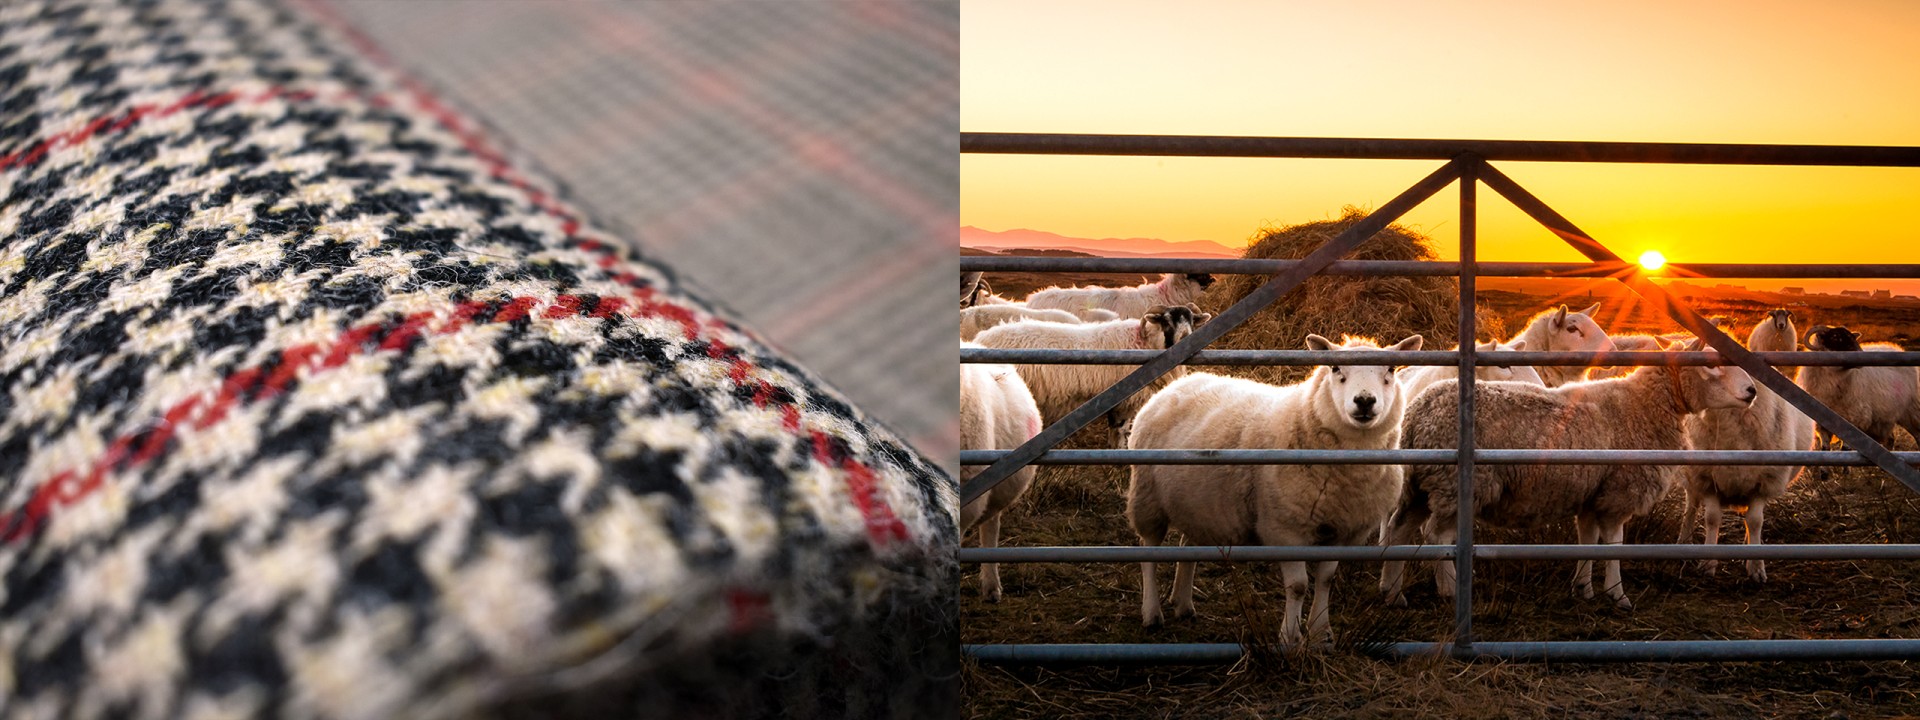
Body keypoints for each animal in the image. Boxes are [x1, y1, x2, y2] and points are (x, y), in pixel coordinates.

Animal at [972, 305, 1210, 448]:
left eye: (1191, 321)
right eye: (1167, 322)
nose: (1187, 338)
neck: (1147, 345)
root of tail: (981, 339)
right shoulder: (1125, 400)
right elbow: (1121, 431)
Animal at [1127, 333, 1425, 644]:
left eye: (1390, 370)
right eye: (1335, 369)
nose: (1364, 401)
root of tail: (1177, 384)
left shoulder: (1343, 530)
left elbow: (1326, 580)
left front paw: (1321, 633)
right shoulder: (1285, 528)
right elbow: (1298, 586)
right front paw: (1290, 639)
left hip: (1198, 506)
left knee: (1188, 545)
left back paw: (1183, 604)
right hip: (1147, 498)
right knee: (1148, 551)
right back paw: (1152, 613)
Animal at [1677, 310, 1815, 582]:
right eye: (1710, 365)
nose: (1751, 391)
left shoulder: (1764, 481)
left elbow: (1755, 521)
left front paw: (1756, 566)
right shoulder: (1708, 479)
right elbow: (1711, 519)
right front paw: (1708, 564)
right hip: (1692, 477)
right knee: (1691, 508)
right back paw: (1683, 541)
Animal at [1800, 324, 1920, 455]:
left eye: (1853, 337)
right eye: (1835, 337)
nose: (1860, 354)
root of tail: (1897, 349)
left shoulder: (1853, 420)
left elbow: (1845, 451)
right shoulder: (1821, 423)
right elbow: (1825, 449)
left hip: (1912, 412)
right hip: (1885, 417)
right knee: (1890, 440)